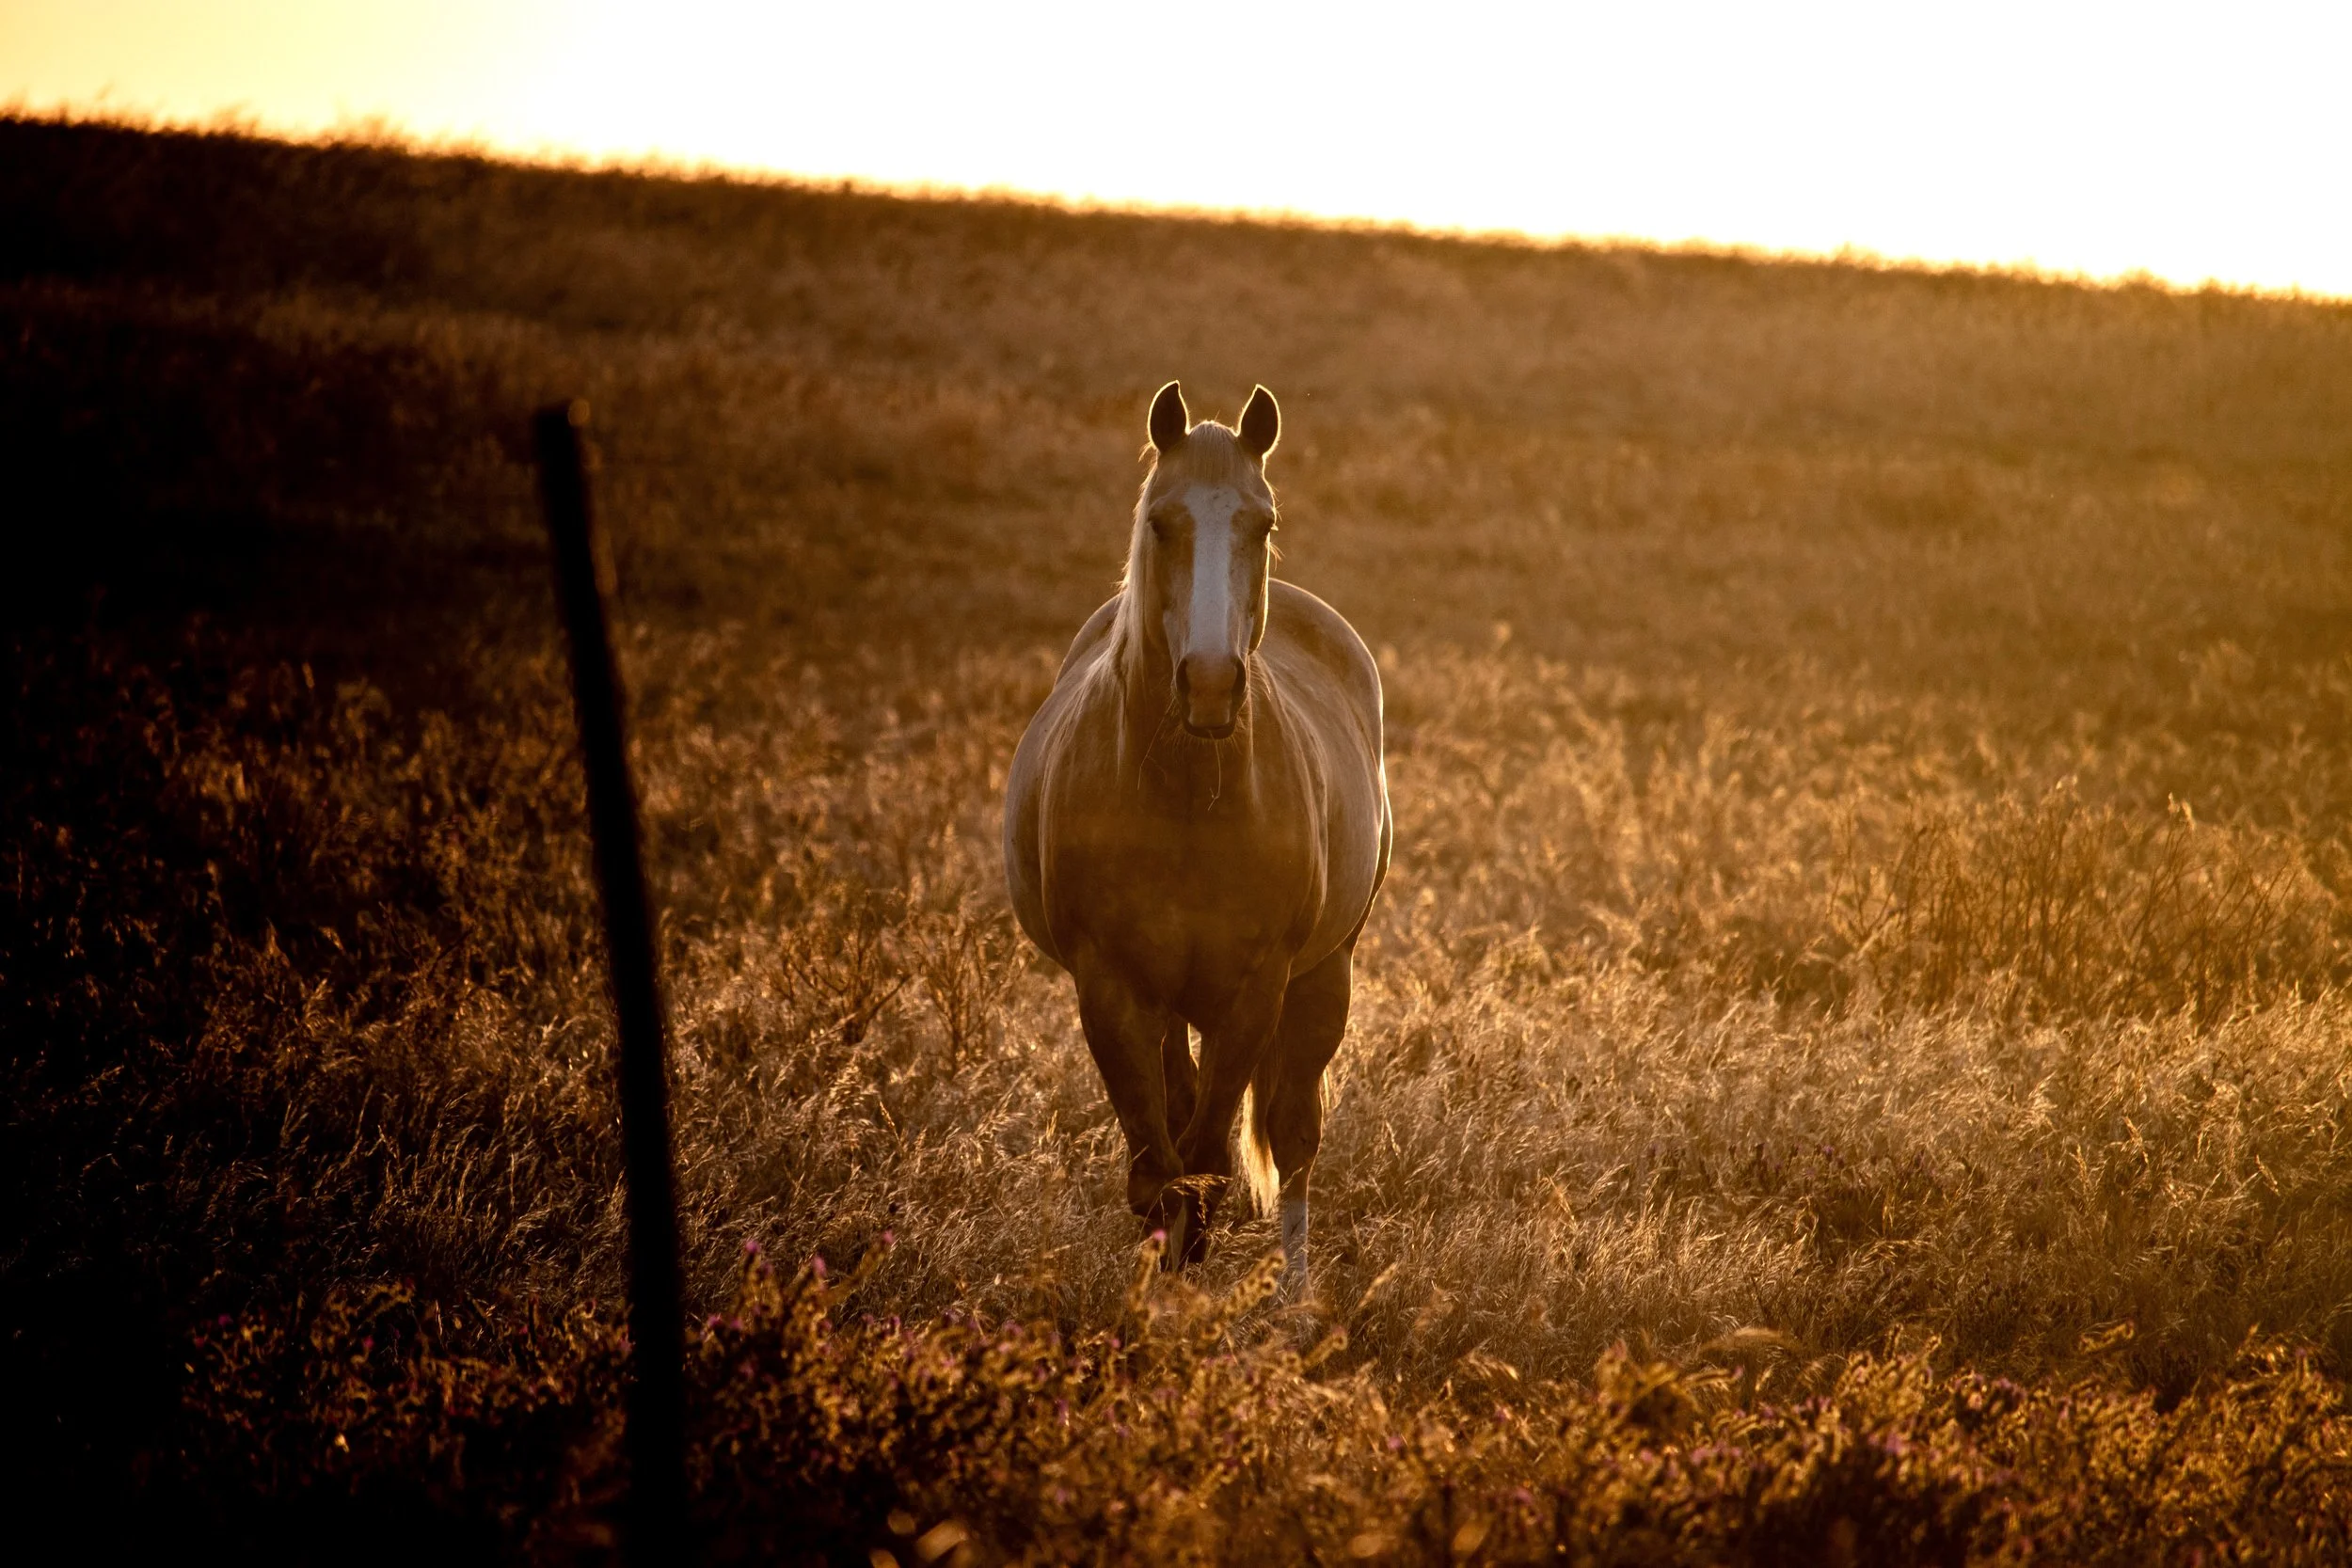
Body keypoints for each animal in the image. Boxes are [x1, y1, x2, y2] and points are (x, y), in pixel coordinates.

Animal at [1002, 380, 1391, 1289]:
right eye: (1160, 522)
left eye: (1264, 523)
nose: (1211, 684)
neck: (1185, 798)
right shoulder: (1111, 987)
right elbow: (1159, 1166)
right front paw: (1157, 1295)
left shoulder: (1256, 989)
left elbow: (1211, 1158)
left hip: (1324, 976)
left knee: (1293, 1139)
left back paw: (1295, 1294)